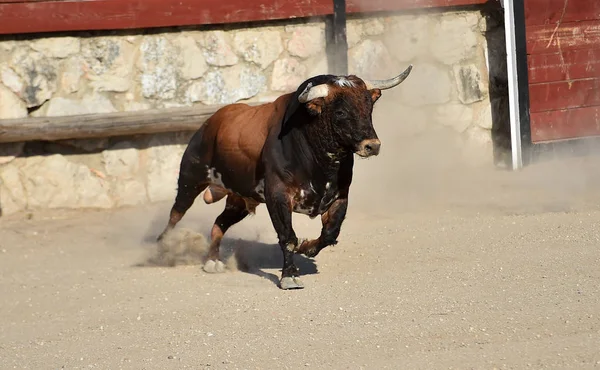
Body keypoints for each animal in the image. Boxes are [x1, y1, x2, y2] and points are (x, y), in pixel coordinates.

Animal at [157, 64, 414, 290]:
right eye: (340, 111)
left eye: (369, 107)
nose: (372, 146)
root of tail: (210, 122)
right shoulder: (278, 196)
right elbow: (287, 236)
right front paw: (289, 276)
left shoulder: (340, 195)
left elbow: (330, 233)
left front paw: (307, 247)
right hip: (190, 178)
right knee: (176, 213)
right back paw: (163, 247)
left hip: (239, 199)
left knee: (218, 224)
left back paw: (212, 261)